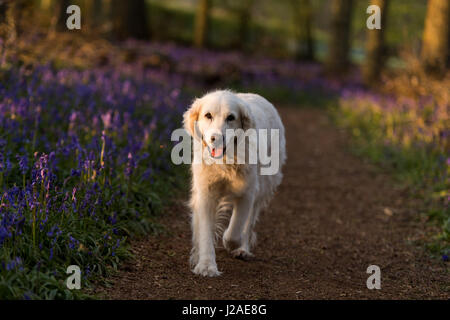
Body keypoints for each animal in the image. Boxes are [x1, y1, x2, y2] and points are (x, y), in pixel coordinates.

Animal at [182, 89, 284, 276]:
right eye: (208, 115)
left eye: (231, 117)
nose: (216, 138)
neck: (226, 160)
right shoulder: (205, 195)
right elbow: (205, 232)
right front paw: (206, 265)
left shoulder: (247, 192)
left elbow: (235, 231)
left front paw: (230, 243)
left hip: (263, 186)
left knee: (249, 222)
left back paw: (242, 249)